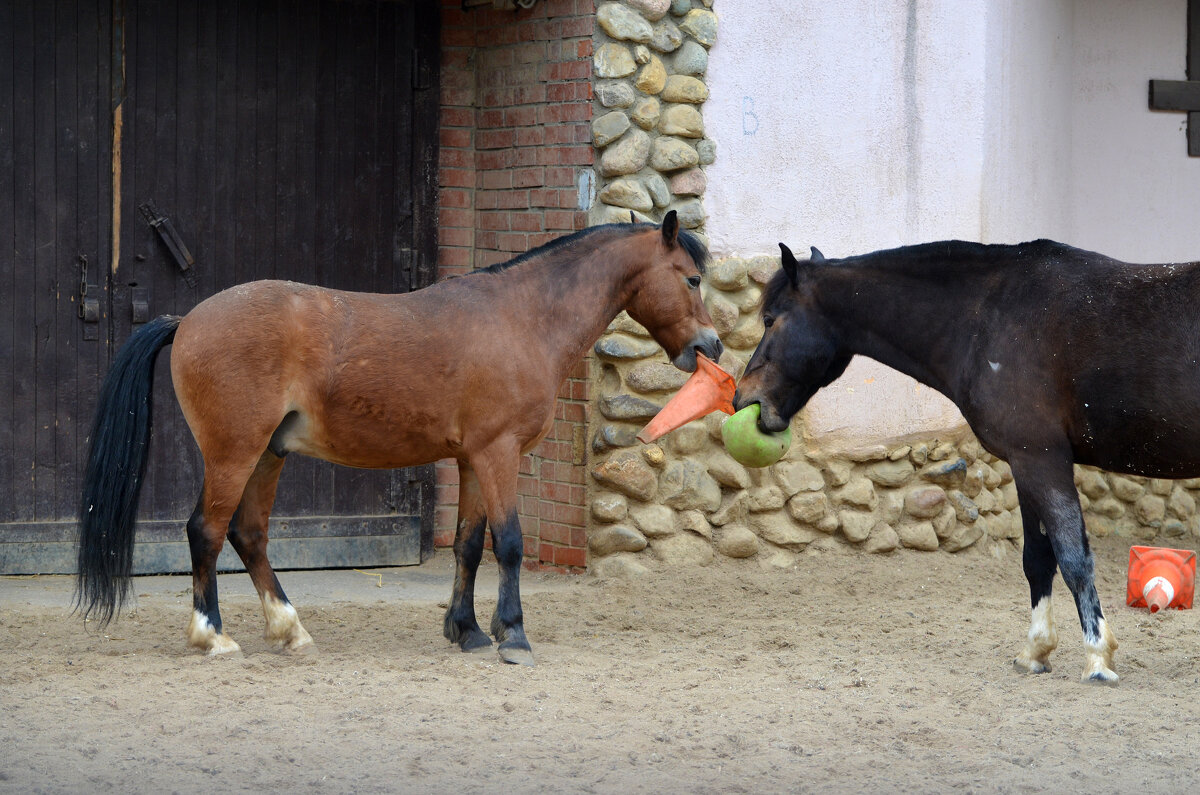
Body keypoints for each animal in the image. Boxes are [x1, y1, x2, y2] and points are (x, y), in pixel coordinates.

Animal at [79, 213, 715, 667]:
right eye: (691, 277)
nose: (709, 346)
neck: (523, 318)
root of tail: (187, 321)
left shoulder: (471, 459)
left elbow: (468, 545)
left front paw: (467, 630)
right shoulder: (498, 453)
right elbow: (508, 542)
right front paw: (513, 635)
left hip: (267, 455)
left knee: (249, 535)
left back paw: (289, 628)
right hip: (233, 453)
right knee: (206, 532)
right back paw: (212, 636)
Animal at [734, 237, 1200, 686]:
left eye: (770, 319)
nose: (744, 399)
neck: (989, 316)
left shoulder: (1041, 460)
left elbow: (1074, 560)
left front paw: (1098, 658)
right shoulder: (1025, 465)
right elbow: (1038, 560)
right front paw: (1036, 652)